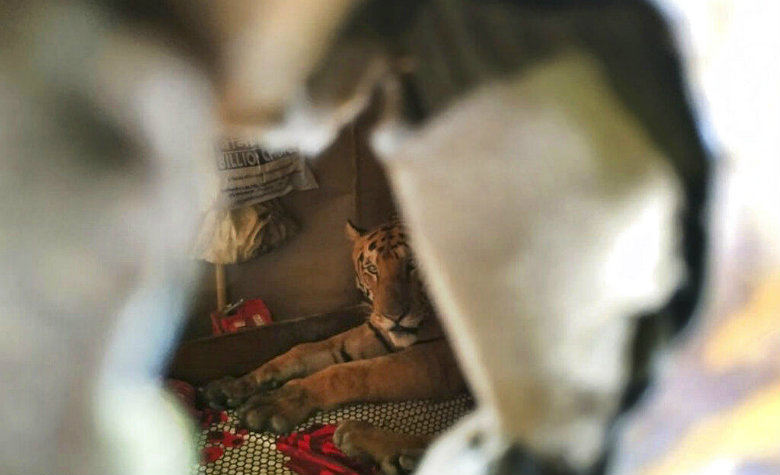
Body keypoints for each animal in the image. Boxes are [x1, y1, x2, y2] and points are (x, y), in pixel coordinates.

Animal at [202, 218, 466, 472]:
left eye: (413, 263)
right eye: (372, 269)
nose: (393, 316)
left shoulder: (438, 359)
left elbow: (348, 373)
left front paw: (275, 403)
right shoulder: (376, 332)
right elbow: (303, 351)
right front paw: (235, 386)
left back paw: (371, 443)